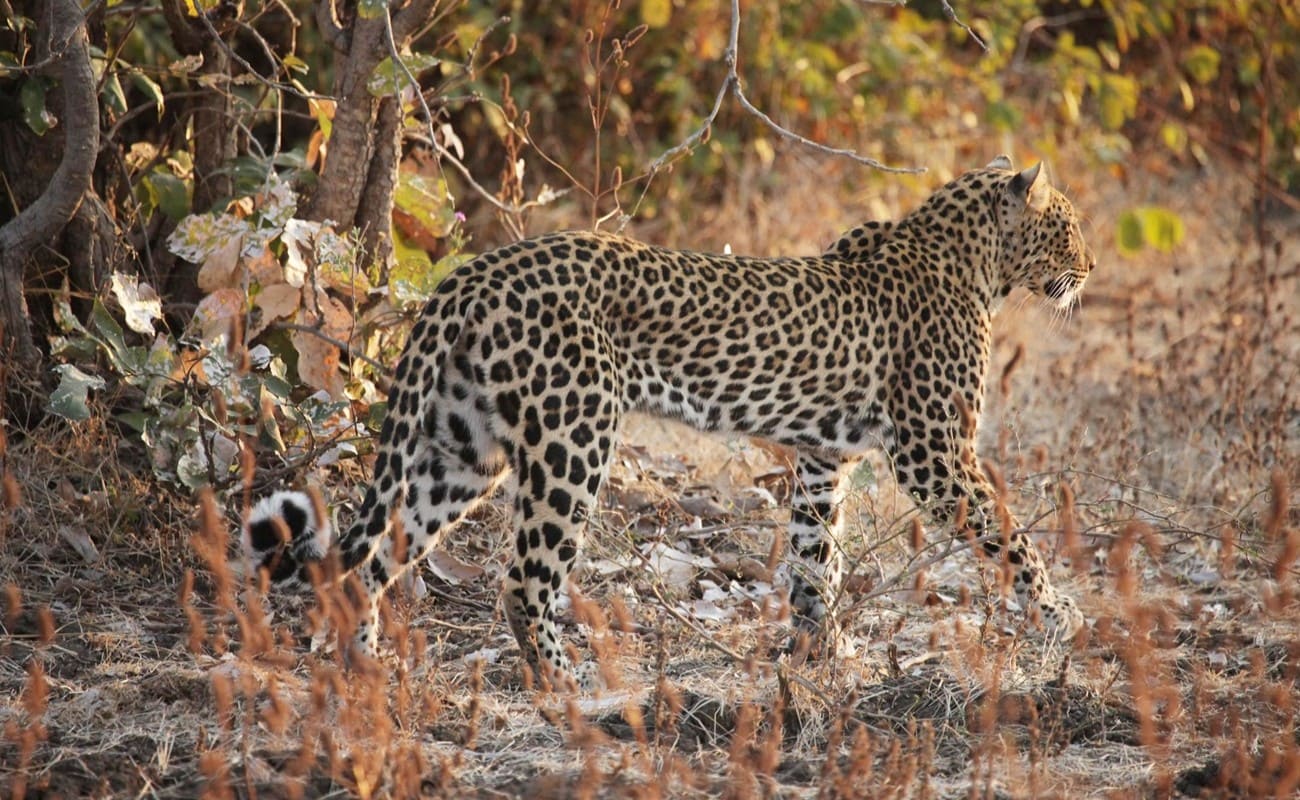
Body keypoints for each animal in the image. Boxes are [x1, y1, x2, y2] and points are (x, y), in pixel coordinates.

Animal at [243, 155, 1094, 686]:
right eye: (1071, 226)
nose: (1088, 271)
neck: (977, 262)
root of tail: (473, 274)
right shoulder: (936, 456)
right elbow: (1010, 536)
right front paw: (1060, 616)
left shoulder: (824, 458)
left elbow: (817, 557)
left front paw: (822, 650)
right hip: (573, 436)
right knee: (523, 577)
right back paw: (565, 683)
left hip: (462, 448)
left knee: (371, 559)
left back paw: (365, 666)